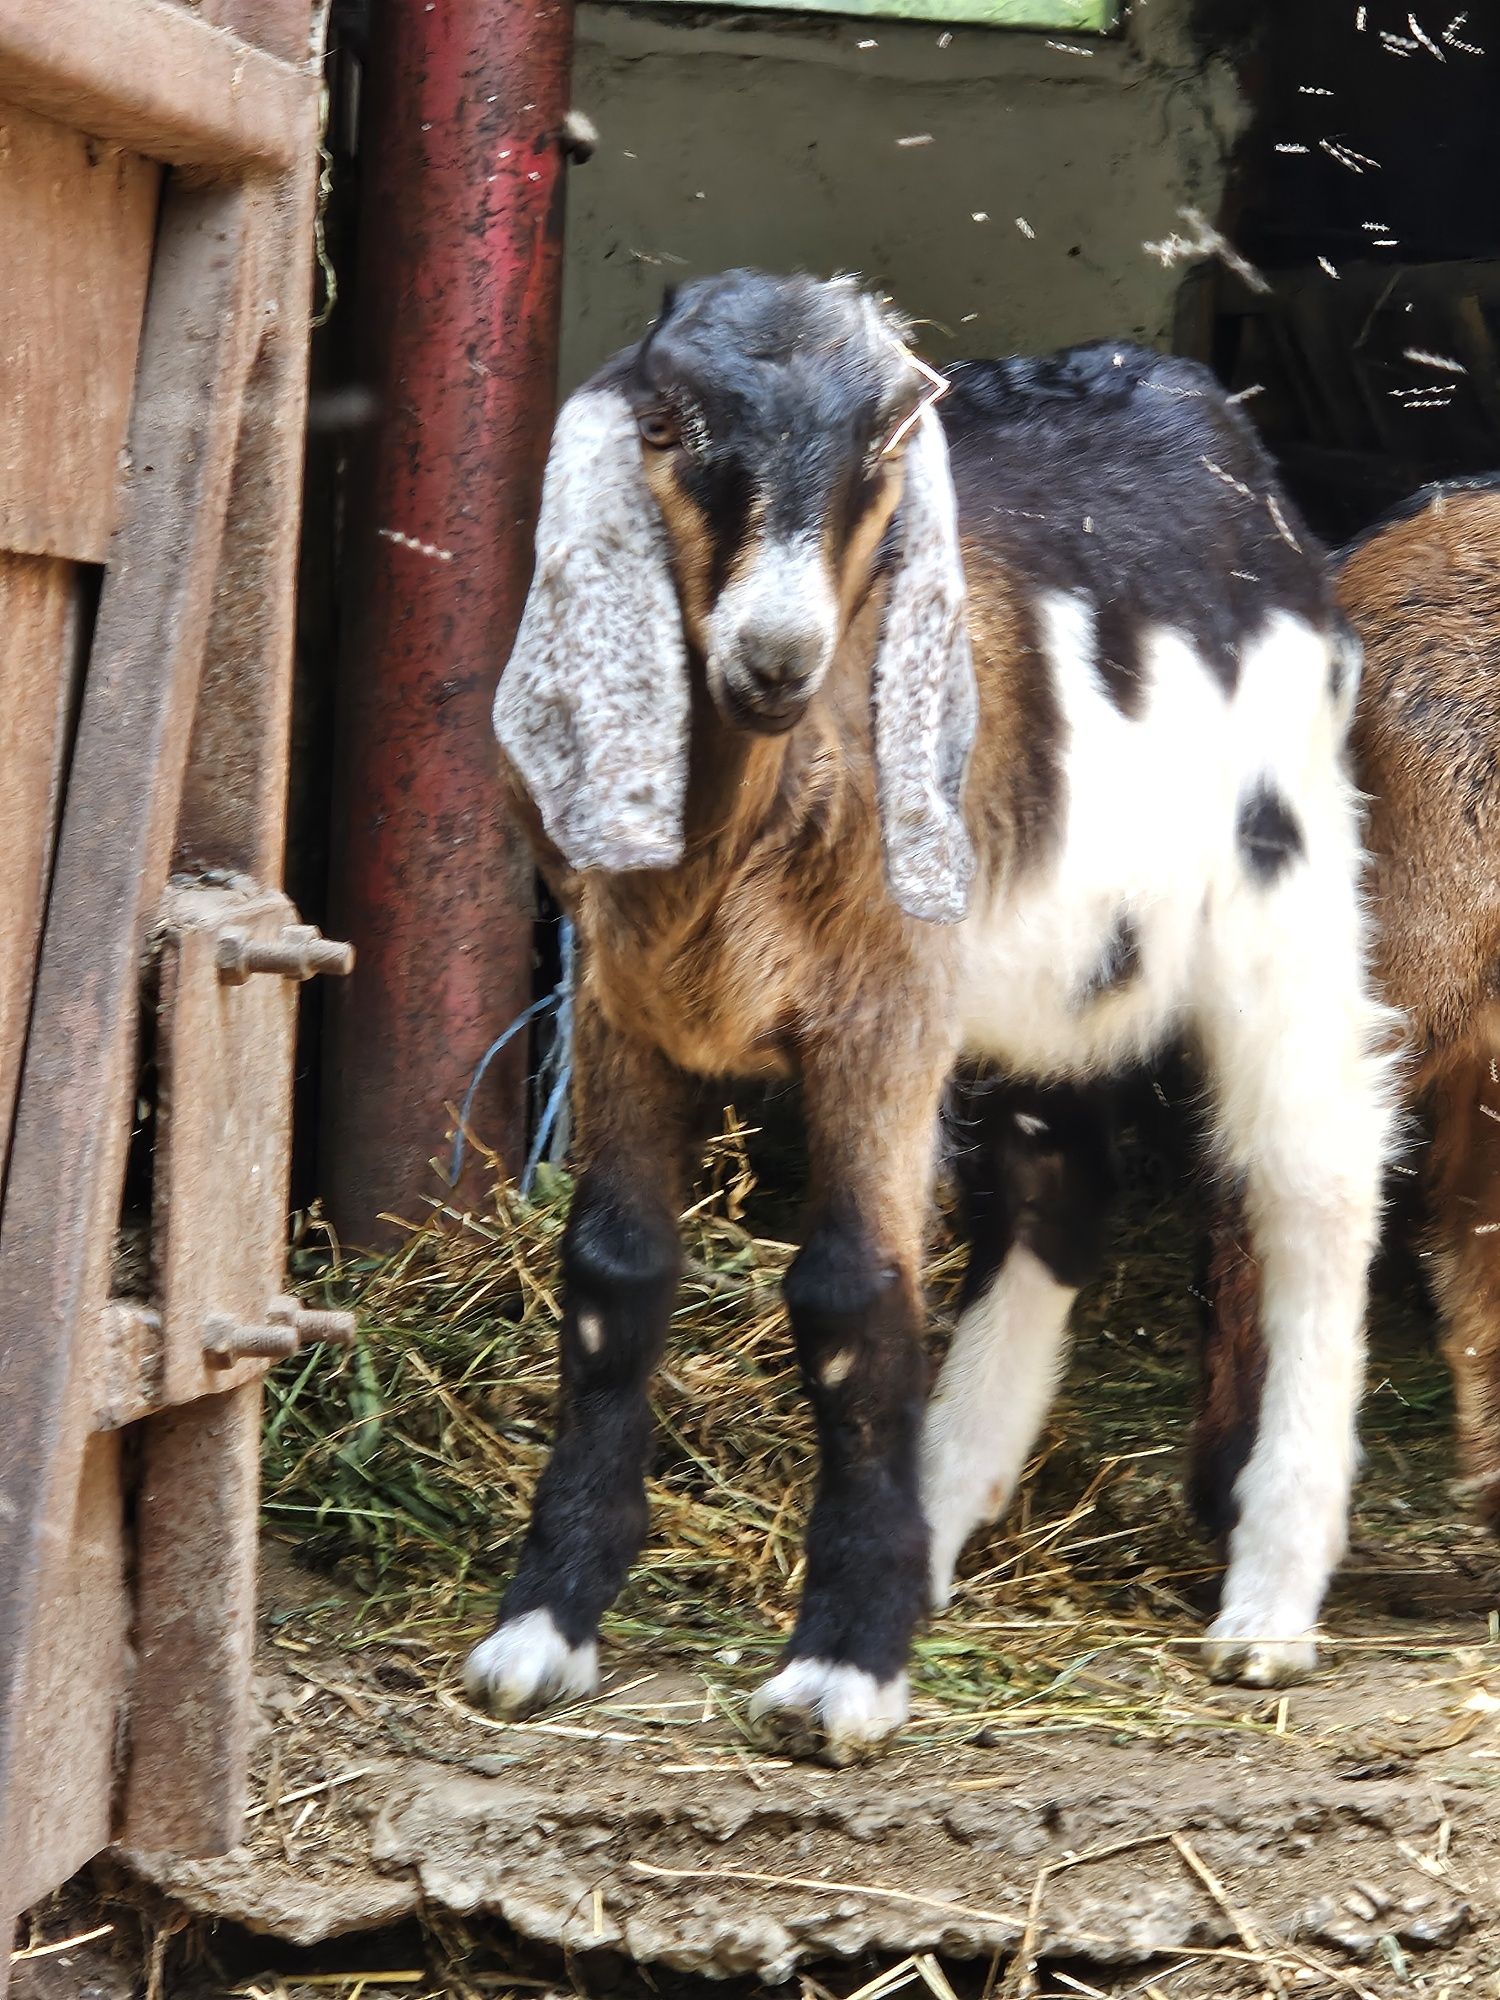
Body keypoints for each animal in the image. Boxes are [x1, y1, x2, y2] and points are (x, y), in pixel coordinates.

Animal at [468, 270, 1400, 1768]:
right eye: (666, 420)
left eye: (893, 439)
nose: (777, 654)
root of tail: (1199, 407)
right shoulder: (626, 1006)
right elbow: (613, 1275)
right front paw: (542, 1626)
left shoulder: (878, 1009)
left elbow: (853, 1293)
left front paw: (841, 1666)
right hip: (1049, 962)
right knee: (1058, 1185)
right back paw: (943, 1513)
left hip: (1283, 881)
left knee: (1312, 1180)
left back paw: (1269, 1597)